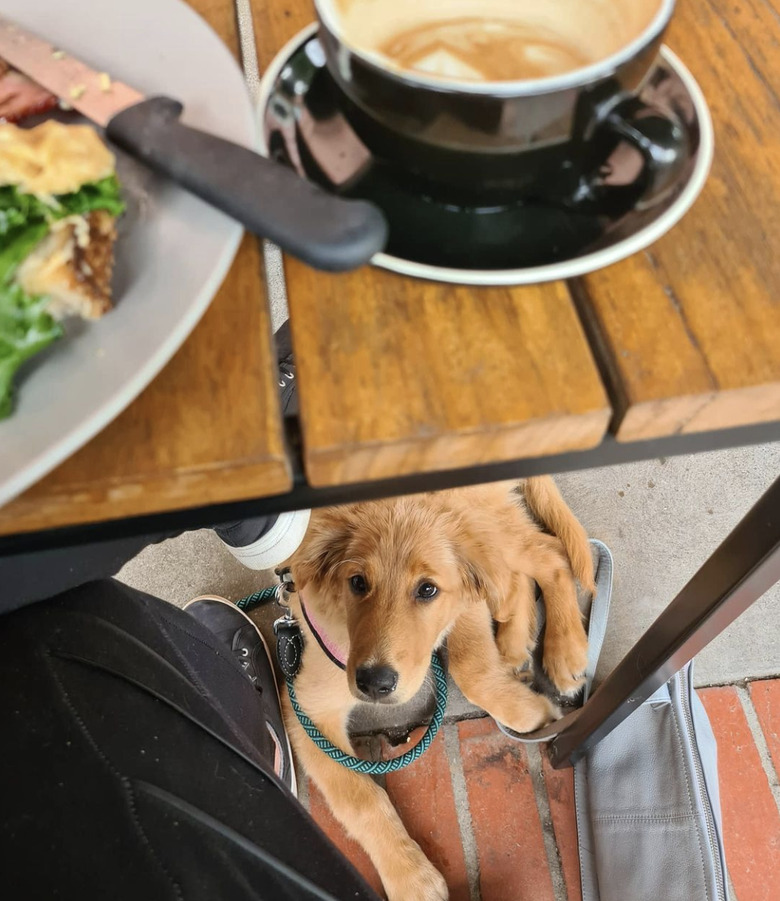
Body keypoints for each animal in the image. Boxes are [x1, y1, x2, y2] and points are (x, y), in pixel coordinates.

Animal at [284, 474, 596, 896]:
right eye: (357, 583)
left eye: (427, 589)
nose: (374, 684)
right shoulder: (308, 707)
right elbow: (359, 800)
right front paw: (410, 878)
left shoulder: (462, 592)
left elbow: (470, 667)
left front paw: (531, 713)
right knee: (515, 578)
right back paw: (515, 643)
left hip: (484, 524)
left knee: (550, 555)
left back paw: (564, 651)